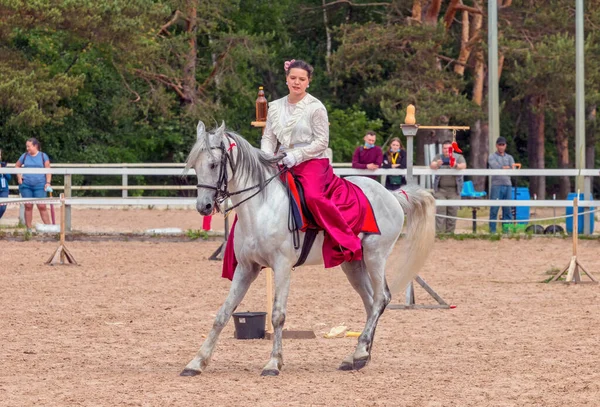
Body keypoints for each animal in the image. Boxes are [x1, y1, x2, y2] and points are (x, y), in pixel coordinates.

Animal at [180, 122, 434, 378]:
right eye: (195, 165)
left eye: (213, 164)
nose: (204, 206)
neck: (262, 207)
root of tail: (391, 195)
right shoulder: (246, 268)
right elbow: (222, 314)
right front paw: (196, 362)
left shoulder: (282, 267)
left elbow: (278, 314)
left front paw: (273, 363)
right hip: (353, 264)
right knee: (371, 302)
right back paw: (358, 356)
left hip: (375, 256)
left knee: (381, 298)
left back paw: (361, 353)